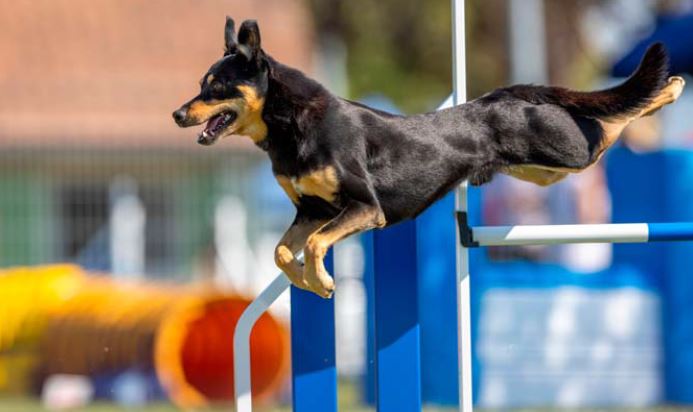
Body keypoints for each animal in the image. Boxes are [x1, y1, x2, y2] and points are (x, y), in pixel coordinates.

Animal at [173, 17, 680, 298]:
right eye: (200, 84)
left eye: (216, 87)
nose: (178, 113)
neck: (290, 126)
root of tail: (503, 95)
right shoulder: (311, 210)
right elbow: (281, 252)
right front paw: (304, 280)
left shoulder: (364, 208)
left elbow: (316, 244)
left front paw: (321, 281)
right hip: (543, 174)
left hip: (568, 153)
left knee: (607, 128)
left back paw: (666, 92)